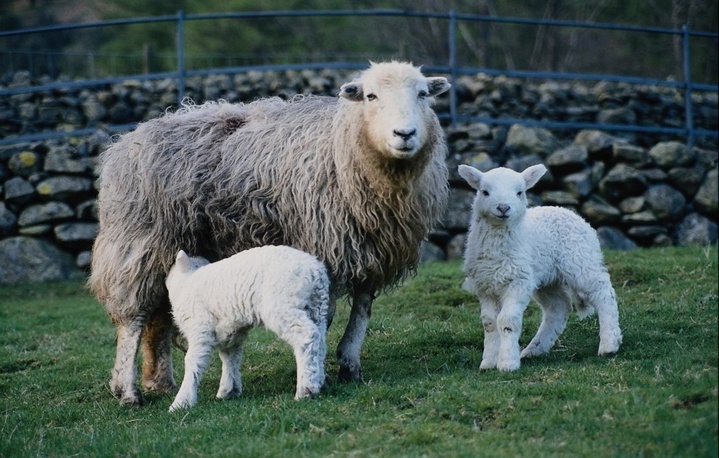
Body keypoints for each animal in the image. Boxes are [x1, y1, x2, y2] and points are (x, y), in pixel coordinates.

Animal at [165, 245, 330, 410]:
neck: (186, 283)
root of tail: (315, 270)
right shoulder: (231, 333)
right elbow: (230, 358)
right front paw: (228, 390)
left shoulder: (200, 328)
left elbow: (193, 361)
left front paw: (182, 401)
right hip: (317, 307)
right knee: (320, 342)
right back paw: (319, 380)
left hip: (283, 304)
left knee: (307, 335)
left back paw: (306, 389)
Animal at [458, 165, 620, 372]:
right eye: (484, 192)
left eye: (520, 192)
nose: (503, 208)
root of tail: (565, 210)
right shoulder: (485, 285)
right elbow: (490, 323)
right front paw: (488, 362)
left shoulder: (518, 280)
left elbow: (507, 321)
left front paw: (507, 363)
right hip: (548, 277)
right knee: (558, 307)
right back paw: (534, 349)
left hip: (580, 260)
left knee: (603, 292)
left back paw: (609, 344)